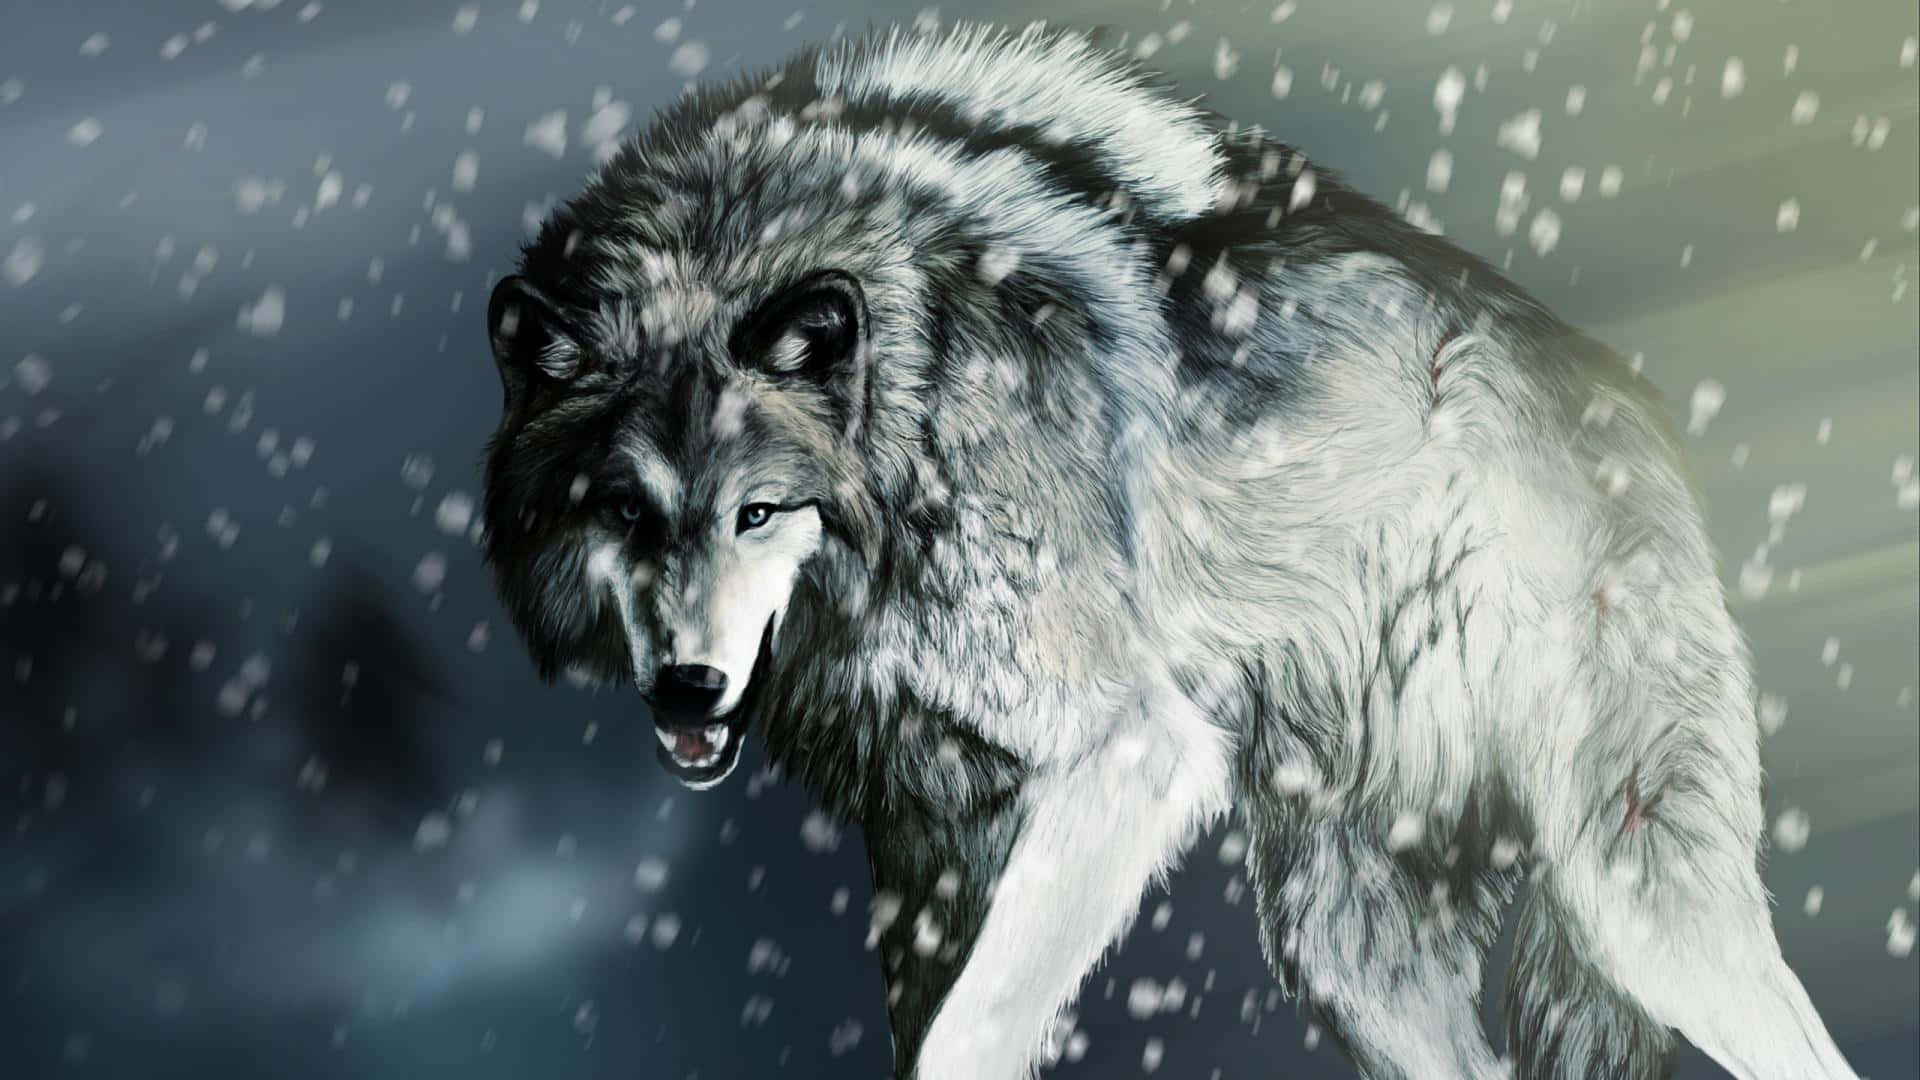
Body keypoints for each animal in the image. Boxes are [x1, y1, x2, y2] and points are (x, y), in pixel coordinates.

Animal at [477, 21, 1859, 1080]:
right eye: (625, 512)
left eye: (759, 512)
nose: (688, 689)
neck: (914, 404)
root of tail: (1626, 394)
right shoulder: (930, 846)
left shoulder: (1126, 753)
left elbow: (969, 1035)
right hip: (1343, 951)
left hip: (1636, 900)